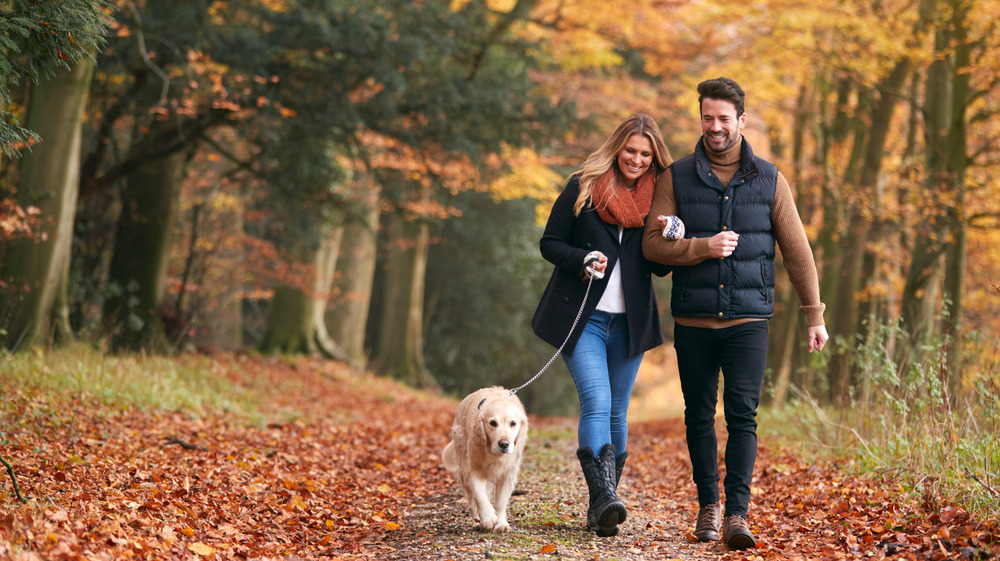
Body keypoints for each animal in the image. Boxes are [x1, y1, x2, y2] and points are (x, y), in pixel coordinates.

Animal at [442, 384, 528, 528]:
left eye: (513, 423)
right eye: (493, 423)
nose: (504, 444)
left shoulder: (508, 474)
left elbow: (500, 503)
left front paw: (501, 523)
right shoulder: (473, 470)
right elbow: (480, 496)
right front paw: (488, 518)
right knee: (471, 500)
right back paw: (477, 520)